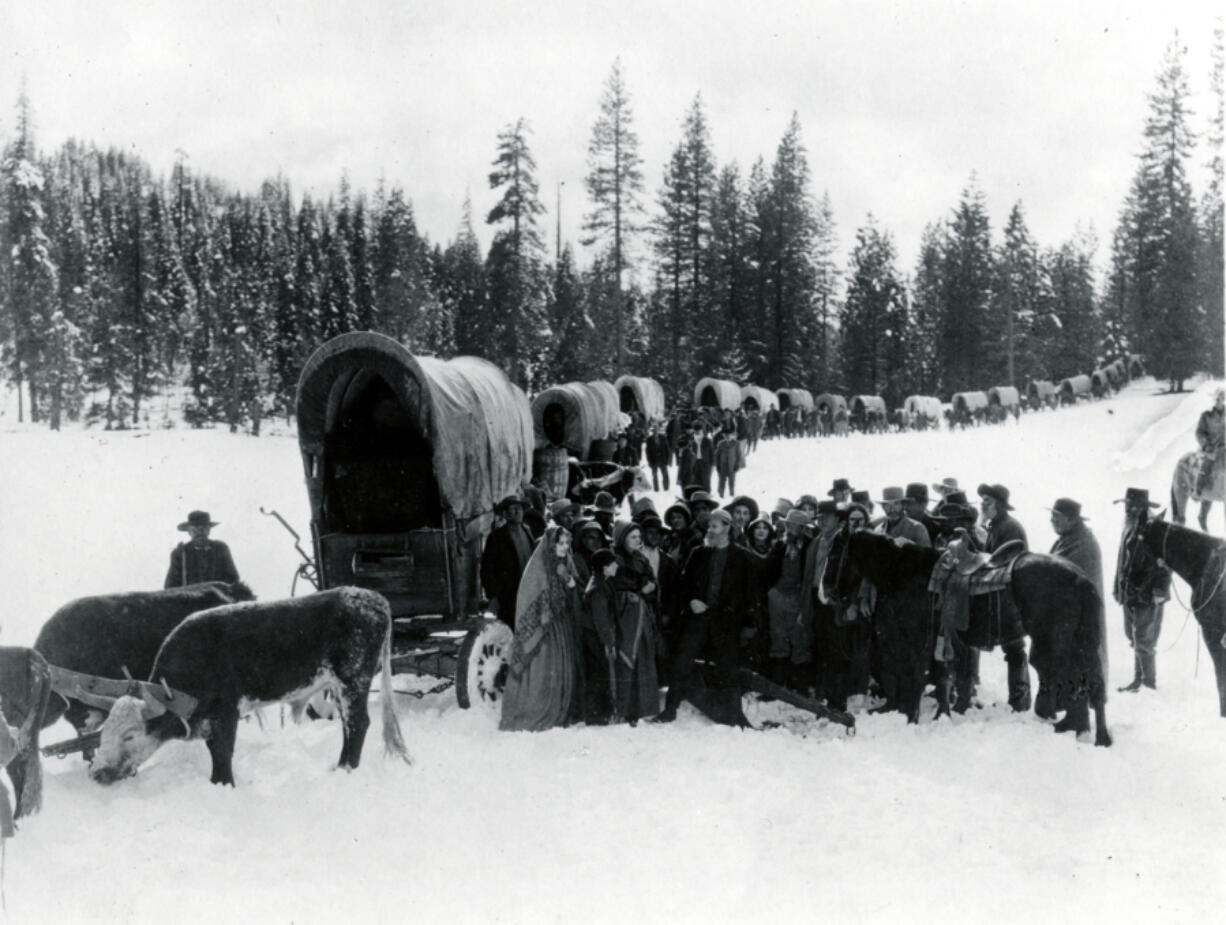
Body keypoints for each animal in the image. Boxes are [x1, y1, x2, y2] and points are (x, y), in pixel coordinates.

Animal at [823, 525, 1113, 740]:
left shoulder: (918, 641)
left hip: (1056, 643)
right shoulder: (939, 641)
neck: (907, 572)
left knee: (1072, 678)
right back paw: (1082, 730)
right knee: (1087, 681)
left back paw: (1083, 731)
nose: (825, 593)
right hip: (1077, 642)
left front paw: (912, 719)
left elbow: (917, 678)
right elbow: (942, 678)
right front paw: (942, 715)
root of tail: (1081, 579)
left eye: (835, 555)